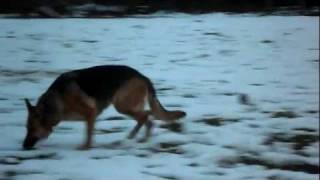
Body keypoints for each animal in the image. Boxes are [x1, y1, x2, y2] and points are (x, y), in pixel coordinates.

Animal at [22, 65, 186, 150]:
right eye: (27, 128)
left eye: (31, 128)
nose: (23, 146)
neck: (57, 100)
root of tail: (142, 76)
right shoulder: (89, 116)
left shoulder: (91, 113)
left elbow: (88, 134)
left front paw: (85, 148)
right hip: (125, 106)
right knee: (147, 119)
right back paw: (138, 139)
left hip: (122, 105)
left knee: (146, 115)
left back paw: (136, 138)